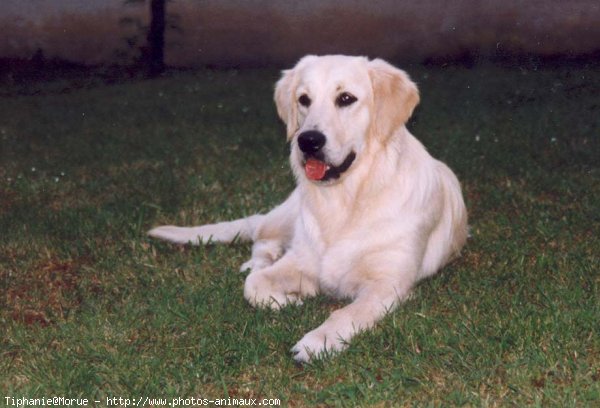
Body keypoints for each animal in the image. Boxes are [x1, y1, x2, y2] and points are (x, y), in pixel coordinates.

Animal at [149, 55, 468, 364]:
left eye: (346, 98)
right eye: (304, 99)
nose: (308, 140)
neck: (346, 199)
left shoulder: (388, 283)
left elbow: (348, 312)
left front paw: (317, 342)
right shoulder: (302, 259)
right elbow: (252, 286)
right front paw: (287, 300)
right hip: (287, 214)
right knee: (262, 237)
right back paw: (258, 261)